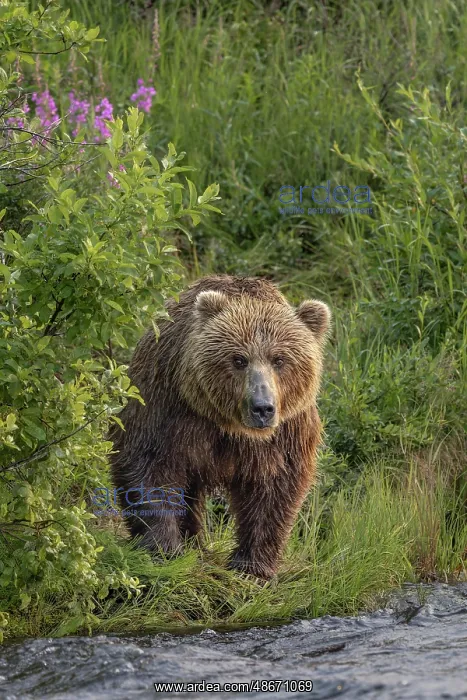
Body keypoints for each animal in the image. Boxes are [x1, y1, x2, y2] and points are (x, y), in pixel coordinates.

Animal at [108, 275, 331, 579]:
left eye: (279, 359)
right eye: (239, 359)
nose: (262, 407)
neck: (228, 425)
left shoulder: (284, 433)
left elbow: (275, 485)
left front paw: (252, 567)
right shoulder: (167, 405)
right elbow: (148, 463)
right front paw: (165, 549)